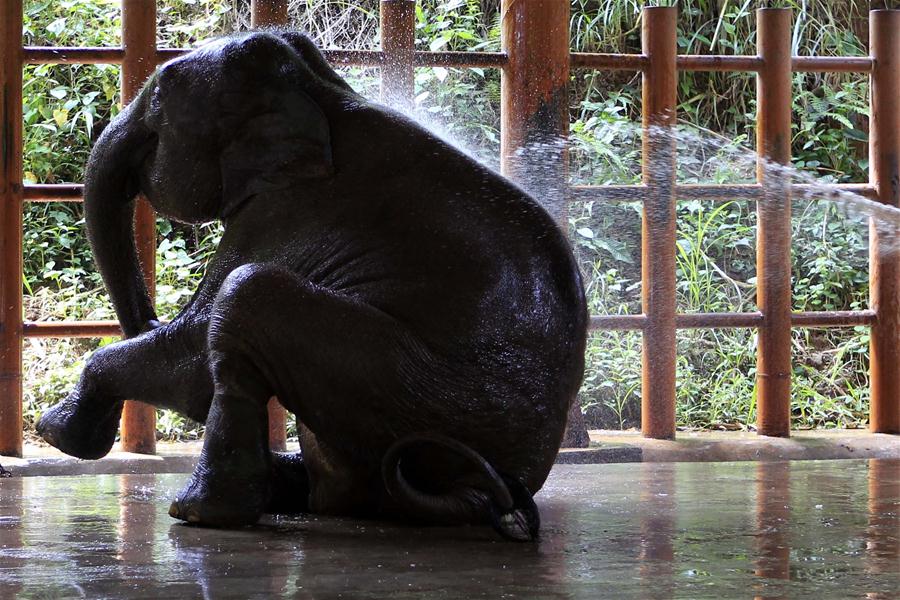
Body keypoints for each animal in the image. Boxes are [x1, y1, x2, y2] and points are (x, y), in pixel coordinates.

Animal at [36, 31, 588, 542]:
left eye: (158, 101)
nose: (146, 317)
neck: (321, 91)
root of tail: (489, 494)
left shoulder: (287, 211)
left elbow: (193, 353)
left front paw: (55, 431)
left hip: (419, 394)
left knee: (246, 297)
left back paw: (198, 513)